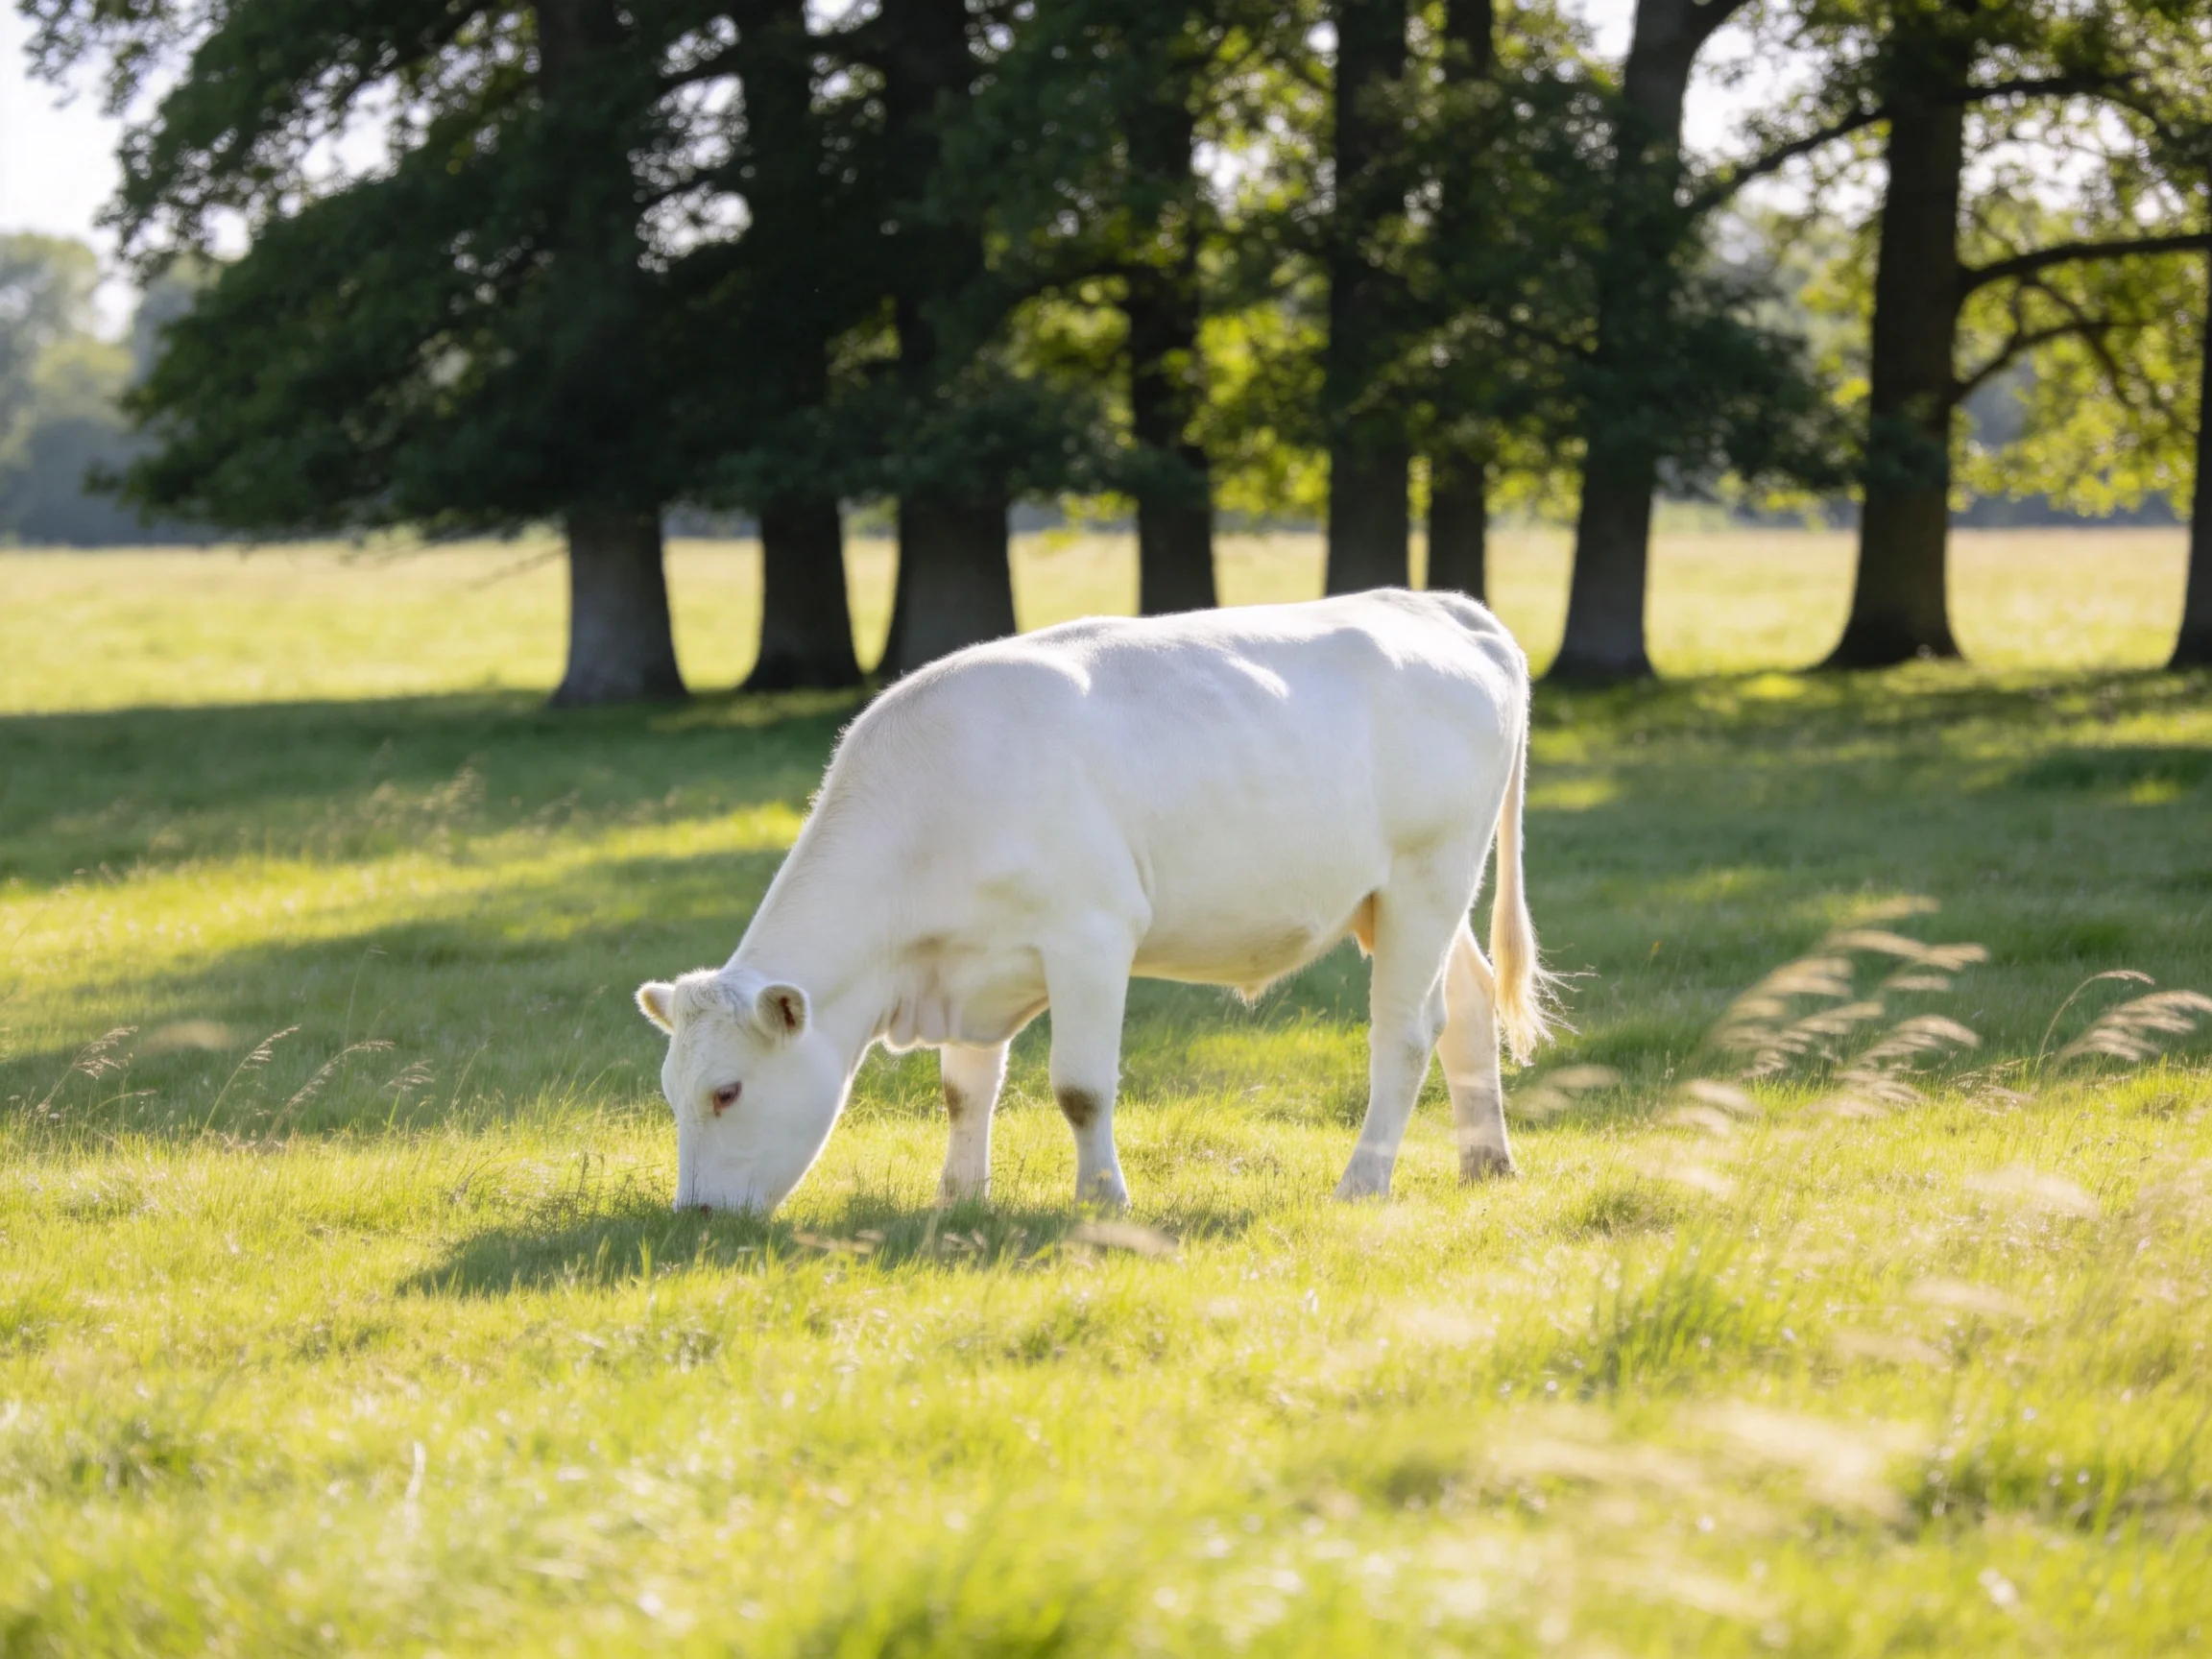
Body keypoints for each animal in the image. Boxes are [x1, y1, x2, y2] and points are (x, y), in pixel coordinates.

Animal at [635, 587, 1551, 1214]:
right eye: (672, 1091)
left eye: (727, 1091)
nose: (697, 1216)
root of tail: (1441, 605)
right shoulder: (968, 962)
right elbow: (965, 1090)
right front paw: (958, 1197)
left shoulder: (1091, 937)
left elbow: (1080, 1087)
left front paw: (1102, 1200)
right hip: (1406, 896)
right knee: (1467, 1004)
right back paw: (1487, 1162)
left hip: (1429, 874)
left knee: (1405, 1031)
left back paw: (1362, 1180)